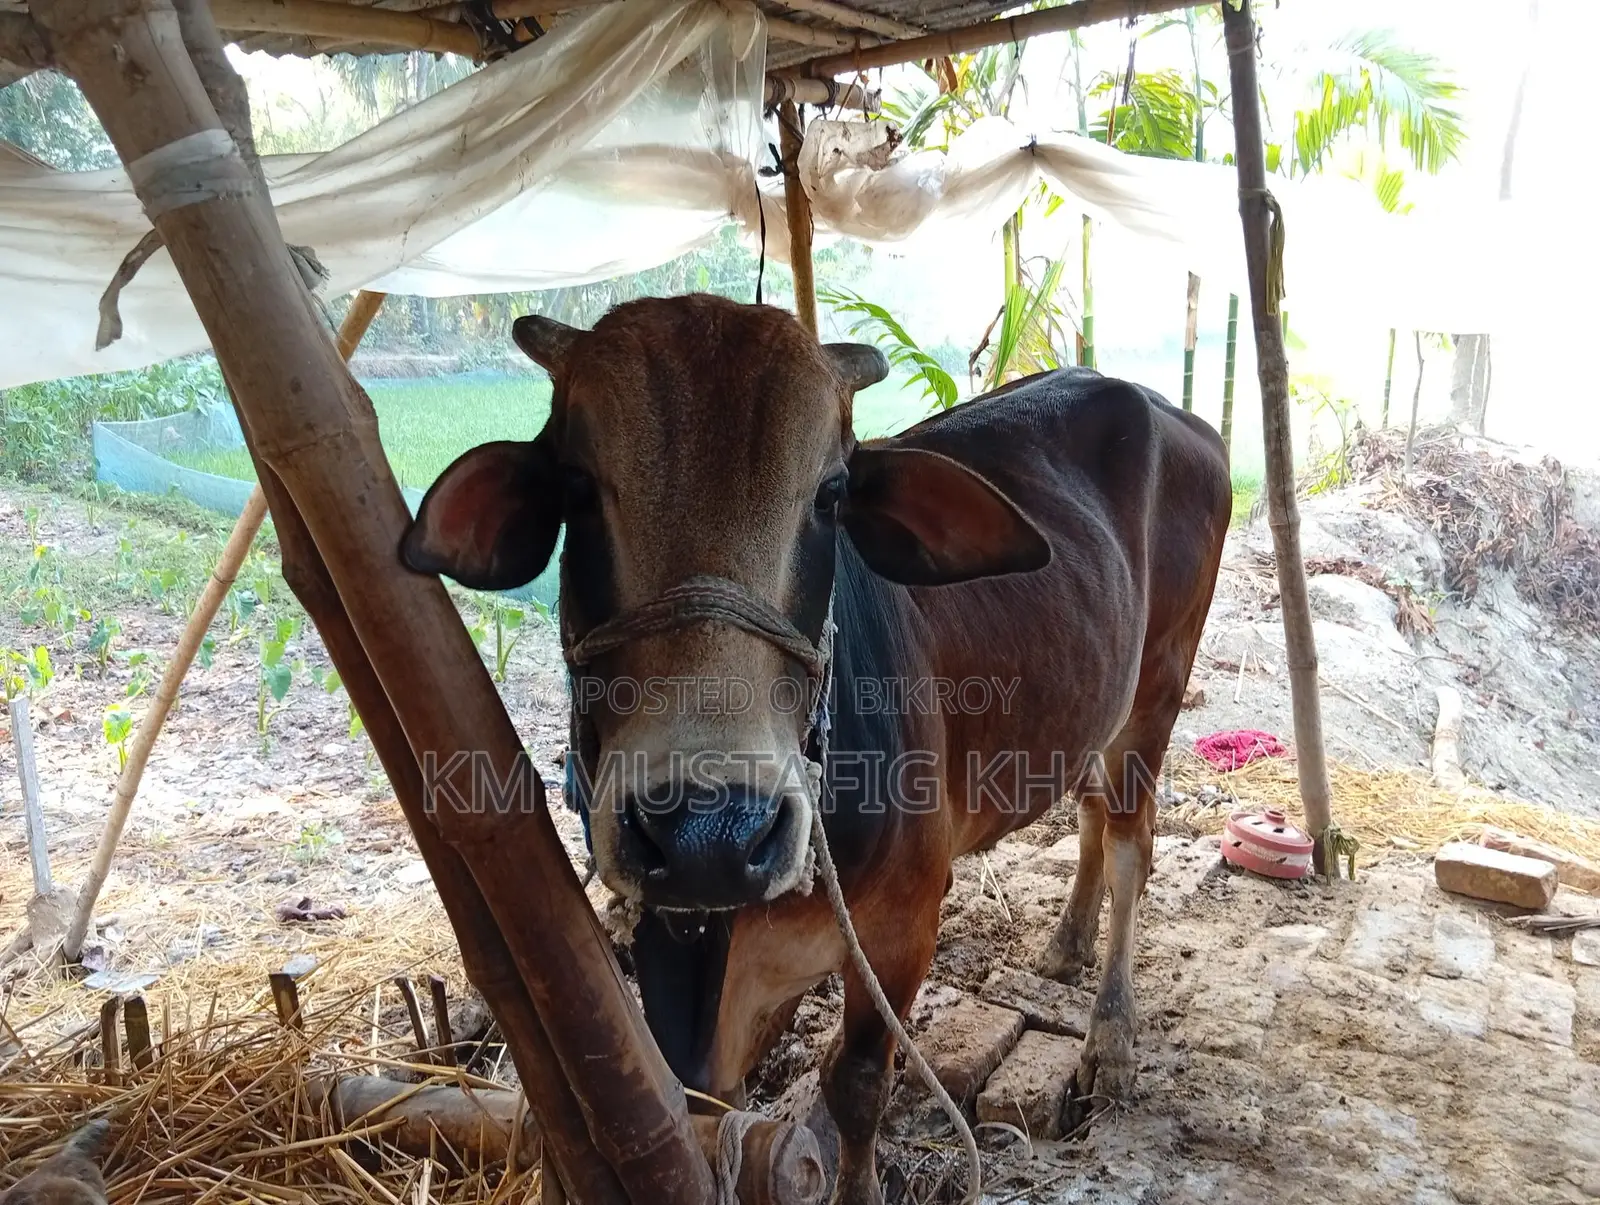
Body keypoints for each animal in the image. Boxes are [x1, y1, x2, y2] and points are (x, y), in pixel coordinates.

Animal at [402, 294, 1231, 1205]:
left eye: (831, 495)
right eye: (576, 488)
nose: (709, 832)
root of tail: (1174, 413)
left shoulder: (904, 924)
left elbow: (857, 1081)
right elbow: (705, 1106)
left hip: (1159, 686)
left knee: (1129, 844)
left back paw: (1110, 1038)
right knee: (1089, 811)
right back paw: (1065, 943)